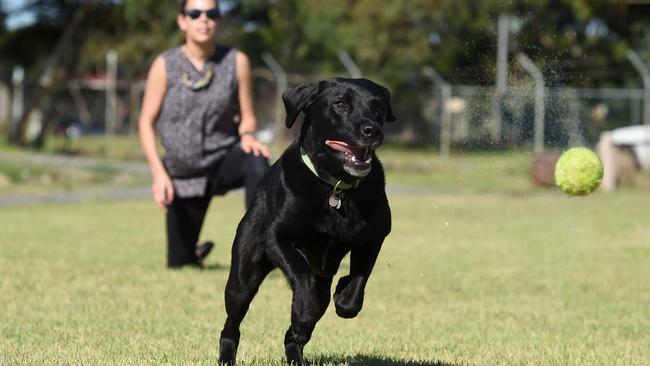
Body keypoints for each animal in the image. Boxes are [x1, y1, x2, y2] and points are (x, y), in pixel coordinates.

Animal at [218, 78, 392, 366]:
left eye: (378, 106)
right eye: (340, 103)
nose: (372, 130)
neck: (336, 188)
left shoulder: (374, 236)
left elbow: (359, 279)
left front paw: (343, 296)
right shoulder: (277, 238)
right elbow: (301, 274)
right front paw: (303, 309)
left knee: (295, 332)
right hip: (243, 275)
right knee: (232, 323)